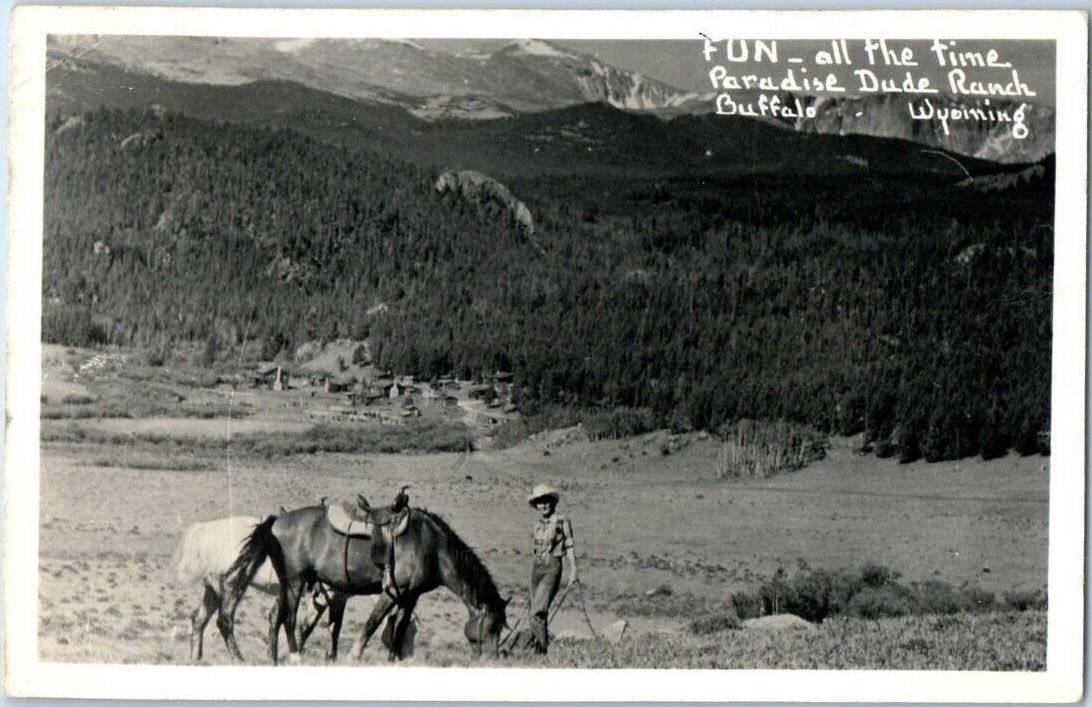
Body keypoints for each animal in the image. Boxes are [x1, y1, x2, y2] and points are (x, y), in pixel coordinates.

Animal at [169, 513, 345, 664]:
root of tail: (201, 531)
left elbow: (292, 622)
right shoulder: (334, 595)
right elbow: (332, 628)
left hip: (212, 590)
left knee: (199, 619)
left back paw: (196, 660)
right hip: (231, 586)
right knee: (224, 619)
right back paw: (239, 659)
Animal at [222, 509, 511, 664]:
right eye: (492, 627)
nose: (491, 660)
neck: (432, 545)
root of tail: (277, 521)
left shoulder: (410, 597)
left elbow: (399, 629)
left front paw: (395, 660)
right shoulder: (392, 592)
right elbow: (373, 623)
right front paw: (354, 655)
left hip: (288, 583)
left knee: (277, 617)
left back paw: (273, 659)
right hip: (295, 581)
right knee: (290, 620)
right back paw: (295, 657)